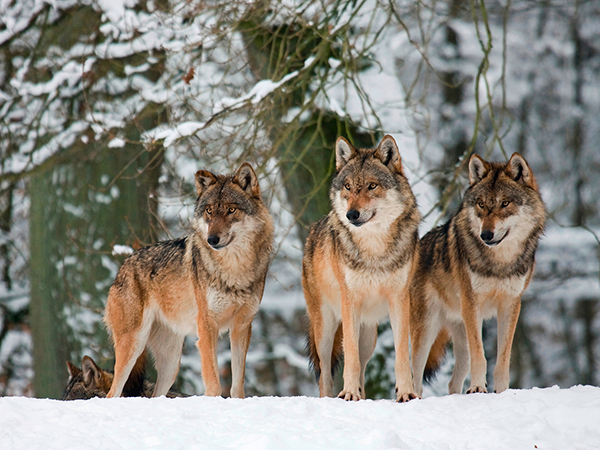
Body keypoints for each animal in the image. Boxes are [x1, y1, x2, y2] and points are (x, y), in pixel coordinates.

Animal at [410, 153, 548, 396]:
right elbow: (481, 355)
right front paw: (477, 388)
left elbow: (502, 359)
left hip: (460, 335)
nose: (486, 235)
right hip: (426, 331)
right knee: (415, 376)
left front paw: (501, 392)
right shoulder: (472, 304)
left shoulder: (511, 305)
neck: (499, 262)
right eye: (481, 204)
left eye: (505, 203)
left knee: (452, 382)